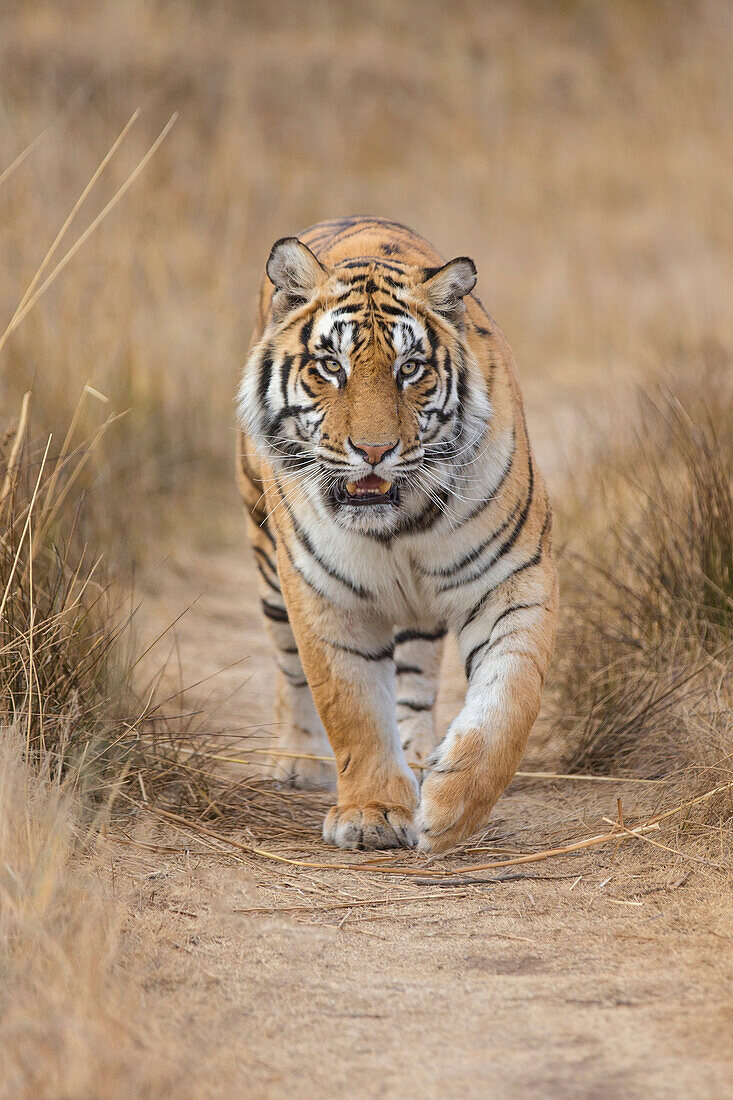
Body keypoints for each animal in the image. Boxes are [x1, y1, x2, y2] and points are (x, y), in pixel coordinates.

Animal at [236, 214, 556, 849]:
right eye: (331, 366)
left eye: (410, 368)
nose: (375, 450)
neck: (399, 525)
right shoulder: (324, 593)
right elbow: (352, 708)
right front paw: (373, 814)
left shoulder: (514, 578)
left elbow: (510, 700)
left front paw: (452, 807)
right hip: (266, 556)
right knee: (289, 668)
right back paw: (297, 760)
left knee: (415, 674)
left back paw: (419, 752)